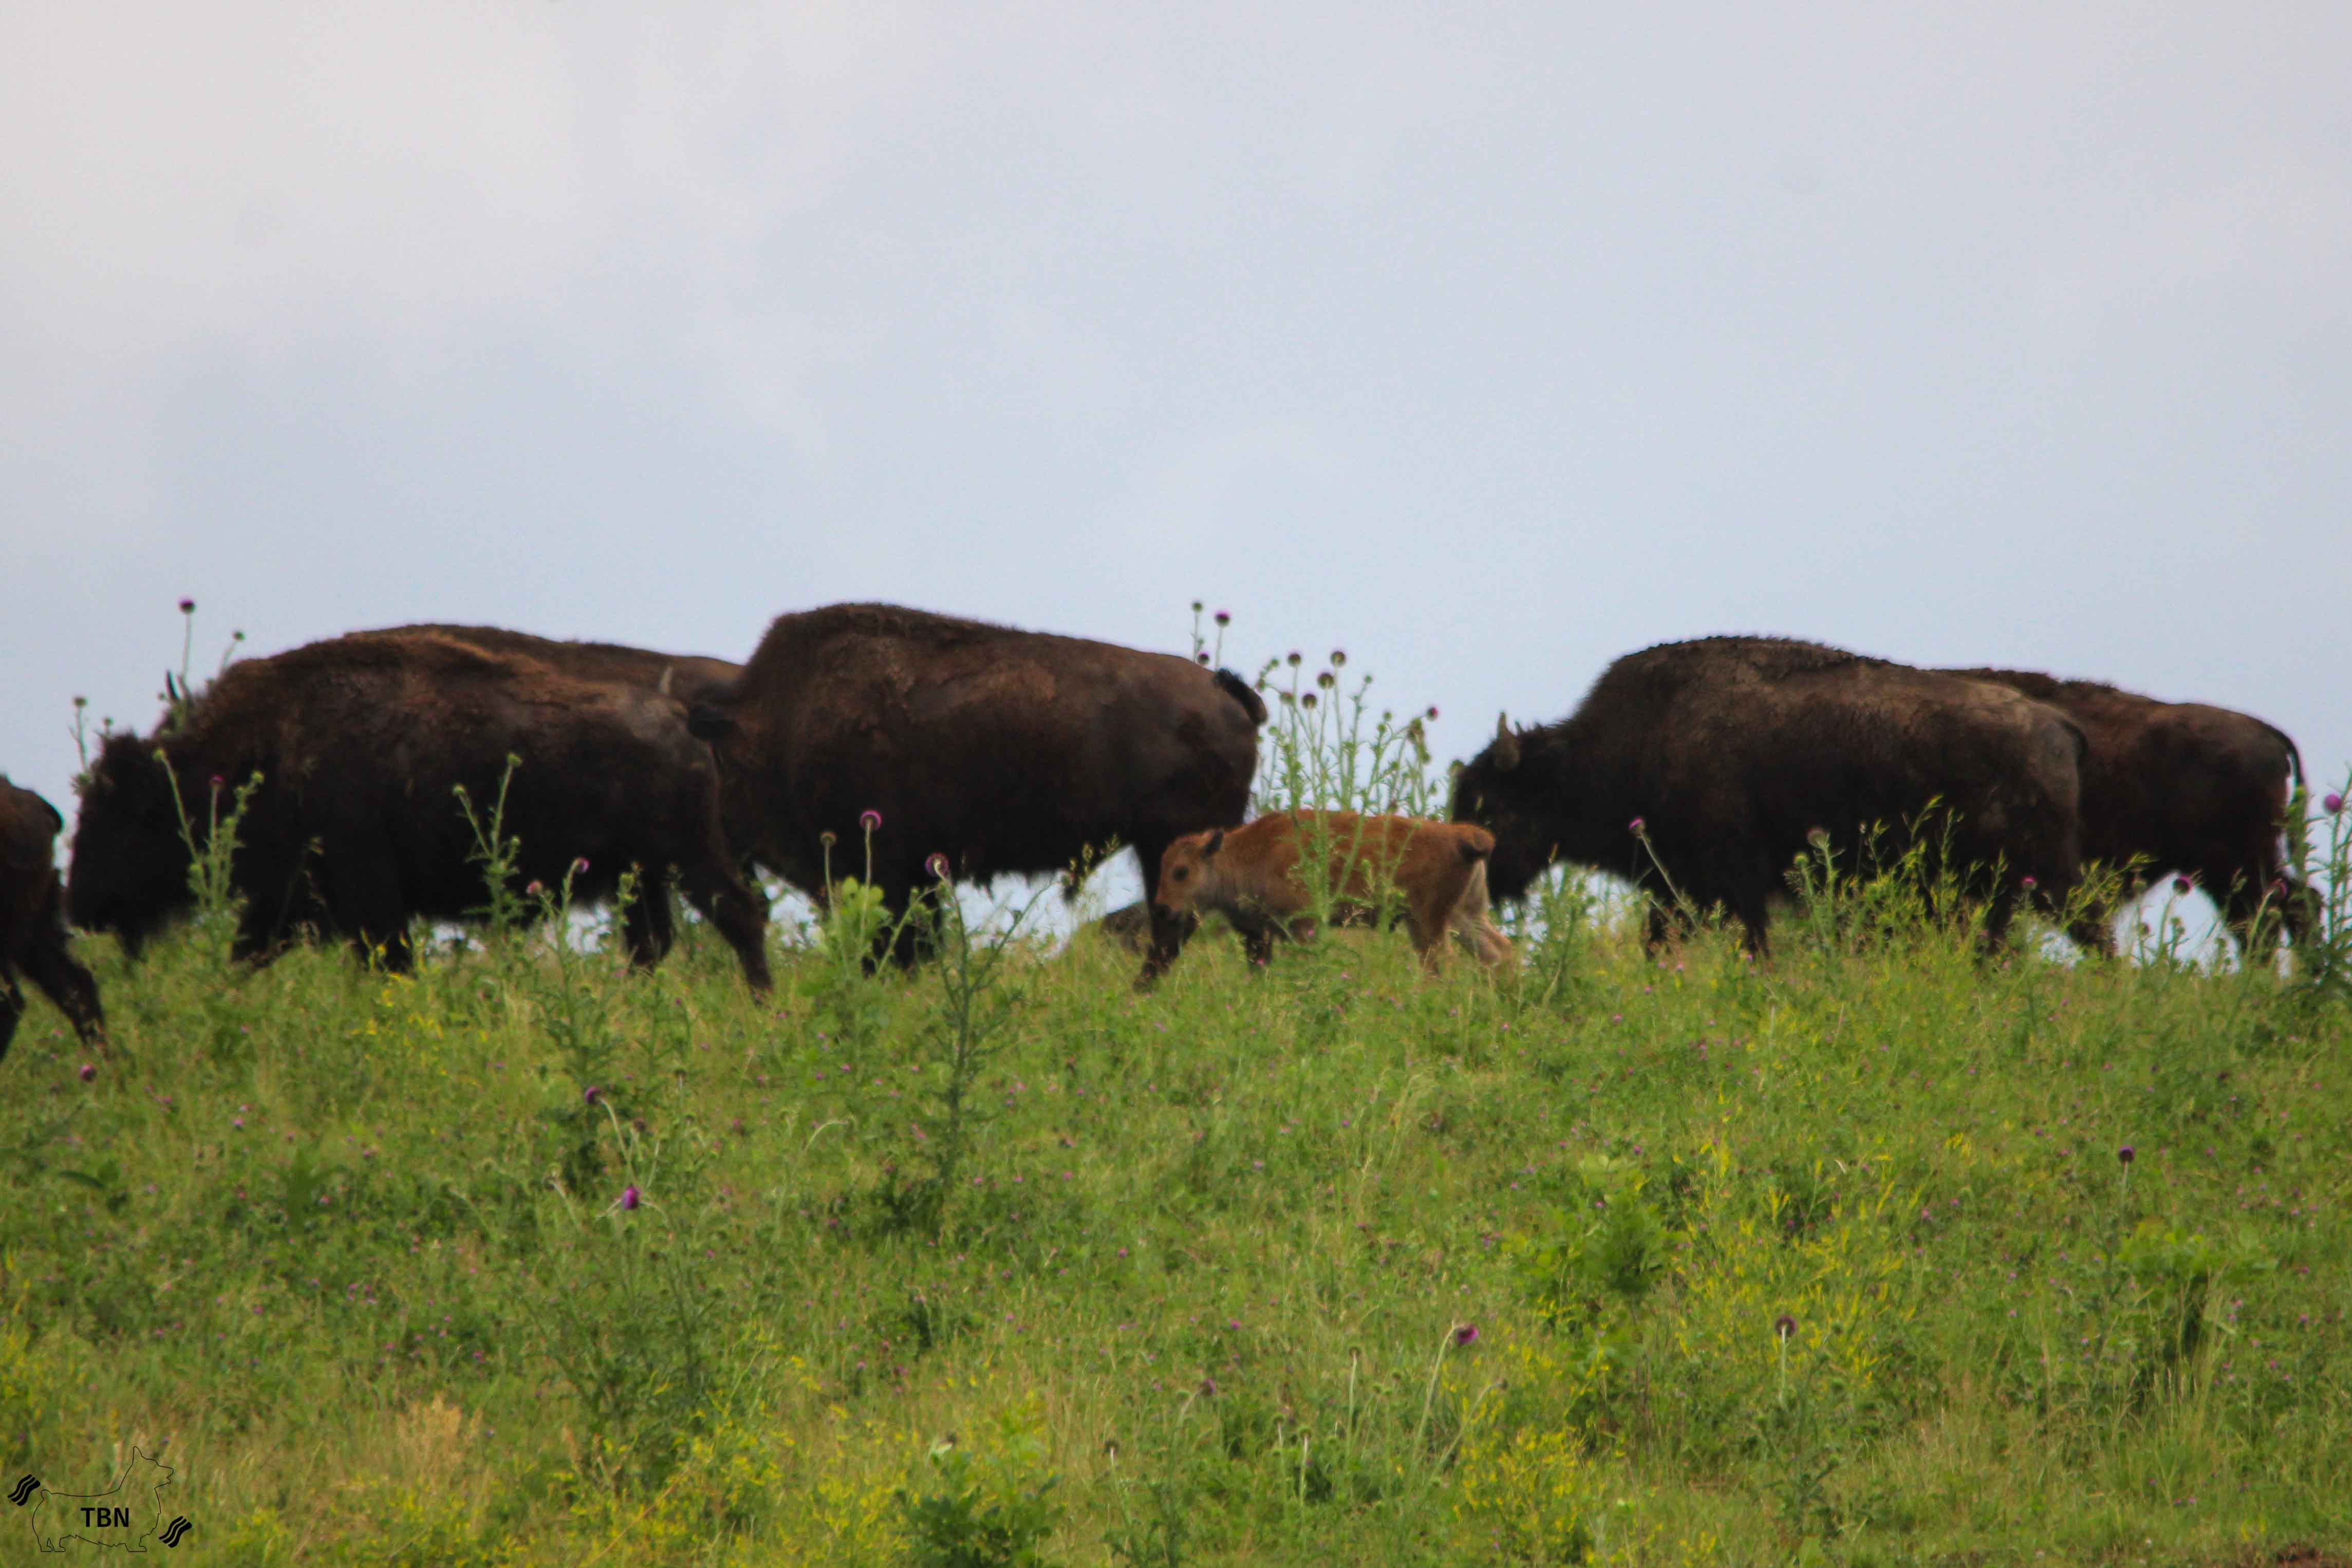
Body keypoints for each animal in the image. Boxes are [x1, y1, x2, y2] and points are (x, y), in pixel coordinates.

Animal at [67, 633, 771, 989]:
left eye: (123, 810)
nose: (80, 906)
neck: (261, 744)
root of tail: (681, 715)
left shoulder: (367, 897)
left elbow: (391, 964)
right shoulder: (288, 903)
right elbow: (246, 956)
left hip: (690, 861)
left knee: (741, 916)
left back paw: (763, 1005)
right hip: (645, 878)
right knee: (654, 945)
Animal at [688, 603, 1267, 973]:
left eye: (727, 776)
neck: (779, 721)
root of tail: (1225, 693)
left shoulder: (884, 870)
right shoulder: (915, 875)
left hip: (1170, 844)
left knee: (1181, 930)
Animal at [1151, 810, 1514, 977]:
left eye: (1181, 871)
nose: (1163, 908)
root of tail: (1462, 836)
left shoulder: (1304, 925)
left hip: (1427, 922)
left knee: (1442, 963)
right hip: (1463, 916)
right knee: (1499, 952)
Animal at [1453, 636, 2087, 955]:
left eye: (1492, 805)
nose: (1475, 886)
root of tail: (2054, 725)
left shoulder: (1734, 885)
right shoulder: (1678, 891)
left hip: (2048, 883)